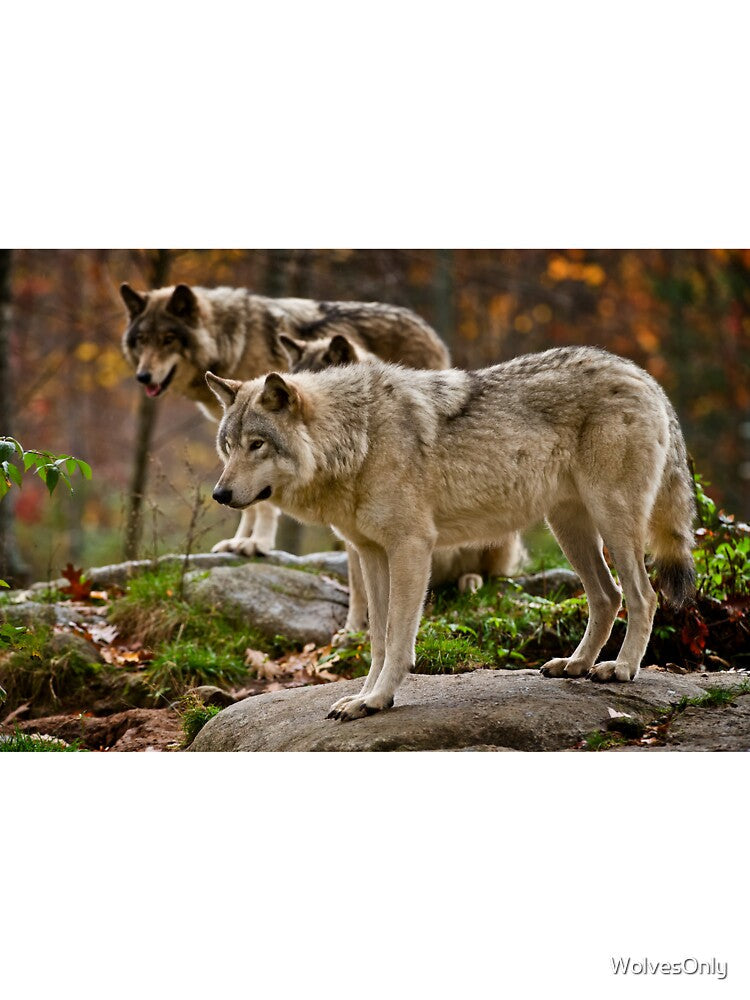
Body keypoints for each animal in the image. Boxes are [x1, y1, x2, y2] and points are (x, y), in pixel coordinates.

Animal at [119, 282, 449, 557]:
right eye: (142, 340)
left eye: (168, 339)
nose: (142, 376)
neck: (233, 342)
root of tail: (428, 328)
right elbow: (247, 501)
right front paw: (238, 541)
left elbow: (263, 502)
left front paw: (256, 544)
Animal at [206, 346, 696, 720]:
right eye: (227, 447)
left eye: (257, 445)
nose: (220, 494)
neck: (359, 438)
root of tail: (644, 377)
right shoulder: (370, 553)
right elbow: (377, 638)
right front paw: (362, 698)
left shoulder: (411, 549)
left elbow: (397, 637)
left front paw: (378, 699)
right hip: (569, 529)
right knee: (607, 596)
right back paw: (575, 664)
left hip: (613, 522)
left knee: (642, 596)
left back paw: (622, 668)